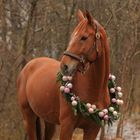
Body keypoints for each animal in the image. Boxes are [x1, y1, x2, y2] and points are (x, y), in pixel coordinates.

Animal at [17, 10, 110, 140]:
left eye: (84, 37)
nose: (64, 66)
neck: (94, 90)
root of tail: (29, 65)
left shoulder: (92, 129)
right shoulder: (67, 126)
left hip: (49, 122)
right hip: (28, 118)